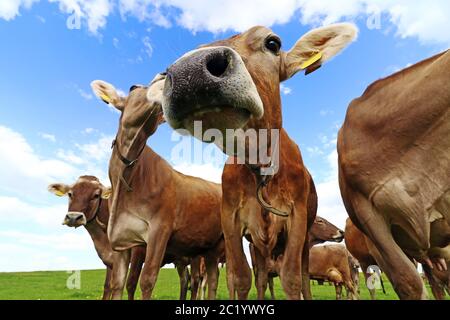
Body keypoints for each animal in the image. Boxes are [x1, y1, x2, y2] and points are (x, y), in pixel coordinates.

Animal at [48, 178, 195, 300]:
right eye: (70, 194)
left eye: (96, 195)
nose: (73, 217)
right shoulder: (110, 259)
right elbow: (109, 286)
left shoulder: (138, 252)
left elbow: (130, 283)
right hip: (180, 260)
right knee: (185, 279)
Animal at [90, 78, 224, 300]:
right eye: (133, 88)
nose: (165, 74)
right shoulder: (122, 238)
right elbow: (118, 283)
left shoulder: (159, 230)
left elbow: (146, 280)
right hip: (209, 248)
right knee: (212, 280)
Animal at [158, 23, 358, 300]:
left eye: (272, 43)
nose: (190, 72)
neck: (261, 168)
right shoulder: (230, 220)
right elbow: (242, 278)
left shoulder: (297, 219)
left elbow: (292, 280)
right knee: (262, 278)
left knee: (304, 278)